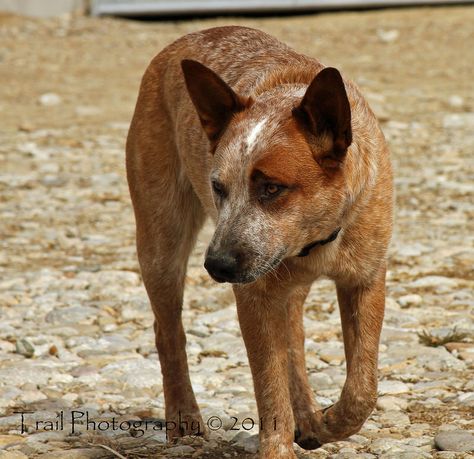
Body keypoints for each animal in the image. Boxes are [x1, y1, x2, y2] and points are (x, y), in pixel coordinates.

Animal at [126, 26, 392, 459]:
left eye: (271, 188)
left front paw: (331, 420)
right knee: (168, 335)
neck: (315, 243)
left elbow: (361, 389)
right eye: (218, 187)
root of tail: (188, 37)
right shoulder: (255, 297)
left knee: (295, 344)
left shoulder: (366, 280)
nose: (216, 265)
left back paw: (310, 418)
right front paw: (279, 446)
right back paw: (184, 420)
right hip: (160, 246)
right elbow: (270, 392)